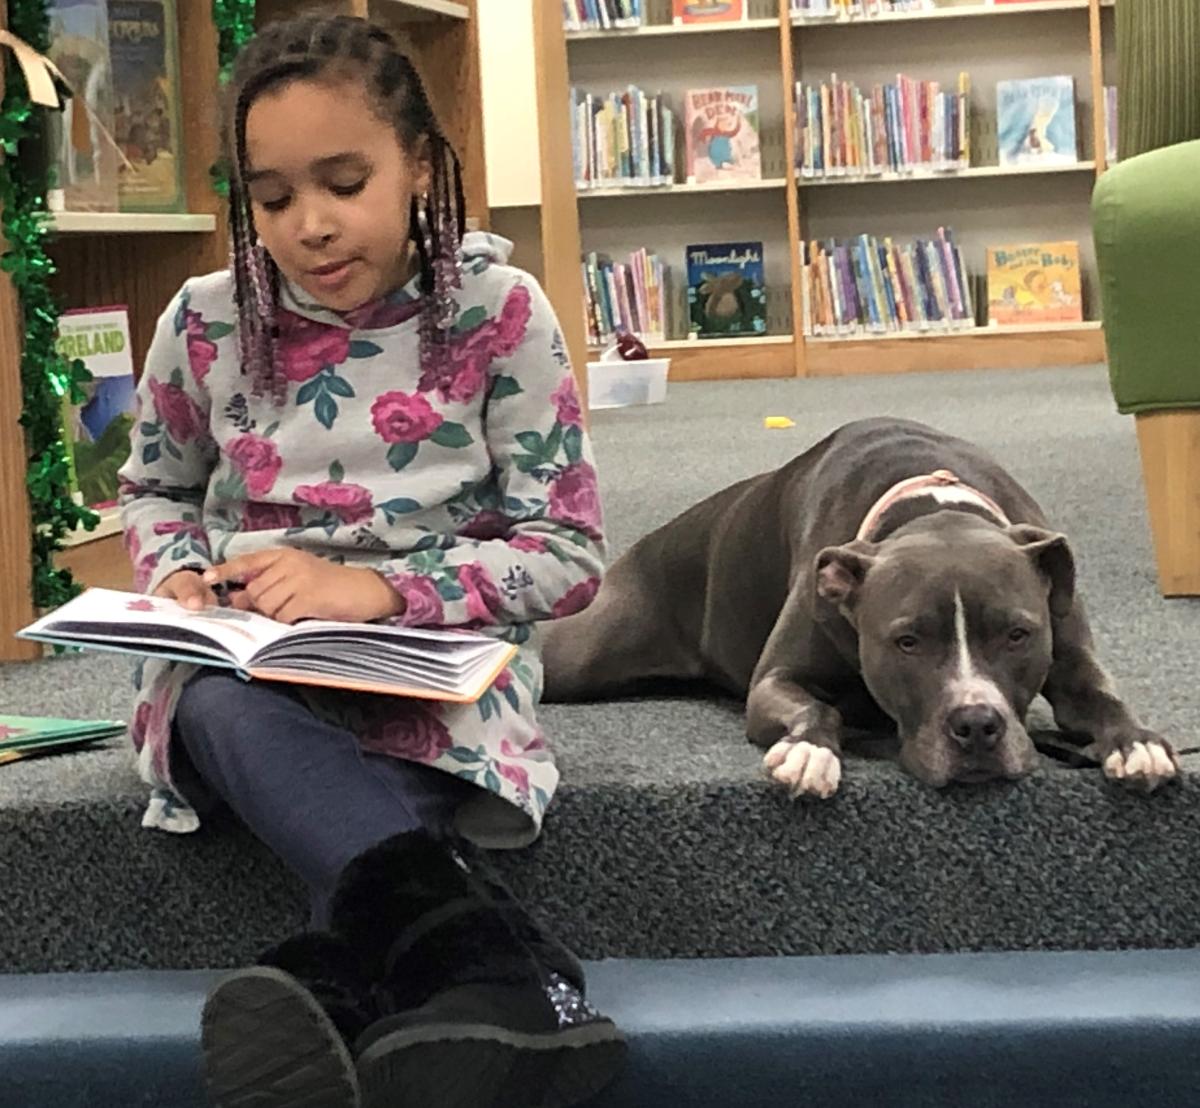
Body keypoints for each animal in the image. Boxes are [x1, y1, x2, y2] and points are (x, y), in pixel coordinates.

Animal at [547, 420, 1180, 801]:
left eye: (1019, 635)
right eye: (907, 641)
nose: (978, 725)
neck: (932, 509)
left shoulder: (1070, 659)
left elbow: (1104, 699)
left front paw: (1137, 742)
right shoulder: (776, 680)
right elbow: (816, 708)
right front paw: (809, 751)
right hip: (583, 650)